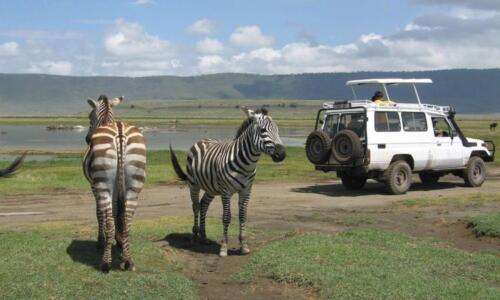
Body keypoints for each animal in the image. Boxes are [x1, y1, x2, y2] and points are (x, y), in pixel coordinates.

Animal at [82, 95, 146, 274]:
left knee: (109, 220)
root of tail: (119, 130)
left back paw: (106, 262)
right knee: (128, 219)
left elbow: (100, 213)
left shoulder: (94, 186)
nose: (87, 139)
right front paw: (119, 242)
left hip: (103, 184)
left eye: (90, 116)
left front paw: (101, 240)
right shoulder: (117, 189)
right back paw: (128, 260)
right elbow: (118, 211)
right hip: (134, 184)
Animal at [171, 106, 286, 256]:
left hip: (211, 188)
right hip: (193, 184)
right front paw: (224, 247)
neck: (247, 165)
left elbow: (242, 216)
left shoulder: (246, 190)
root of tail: (202, 140)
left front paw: (244, 246)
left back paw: (204, 237)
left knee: (203, 205)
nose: (282, 154)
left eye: (277, 130)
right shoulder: (226, 191)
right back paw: (195, 236)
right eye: (262, 130)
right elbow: (226, 217)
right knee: (195, 206)